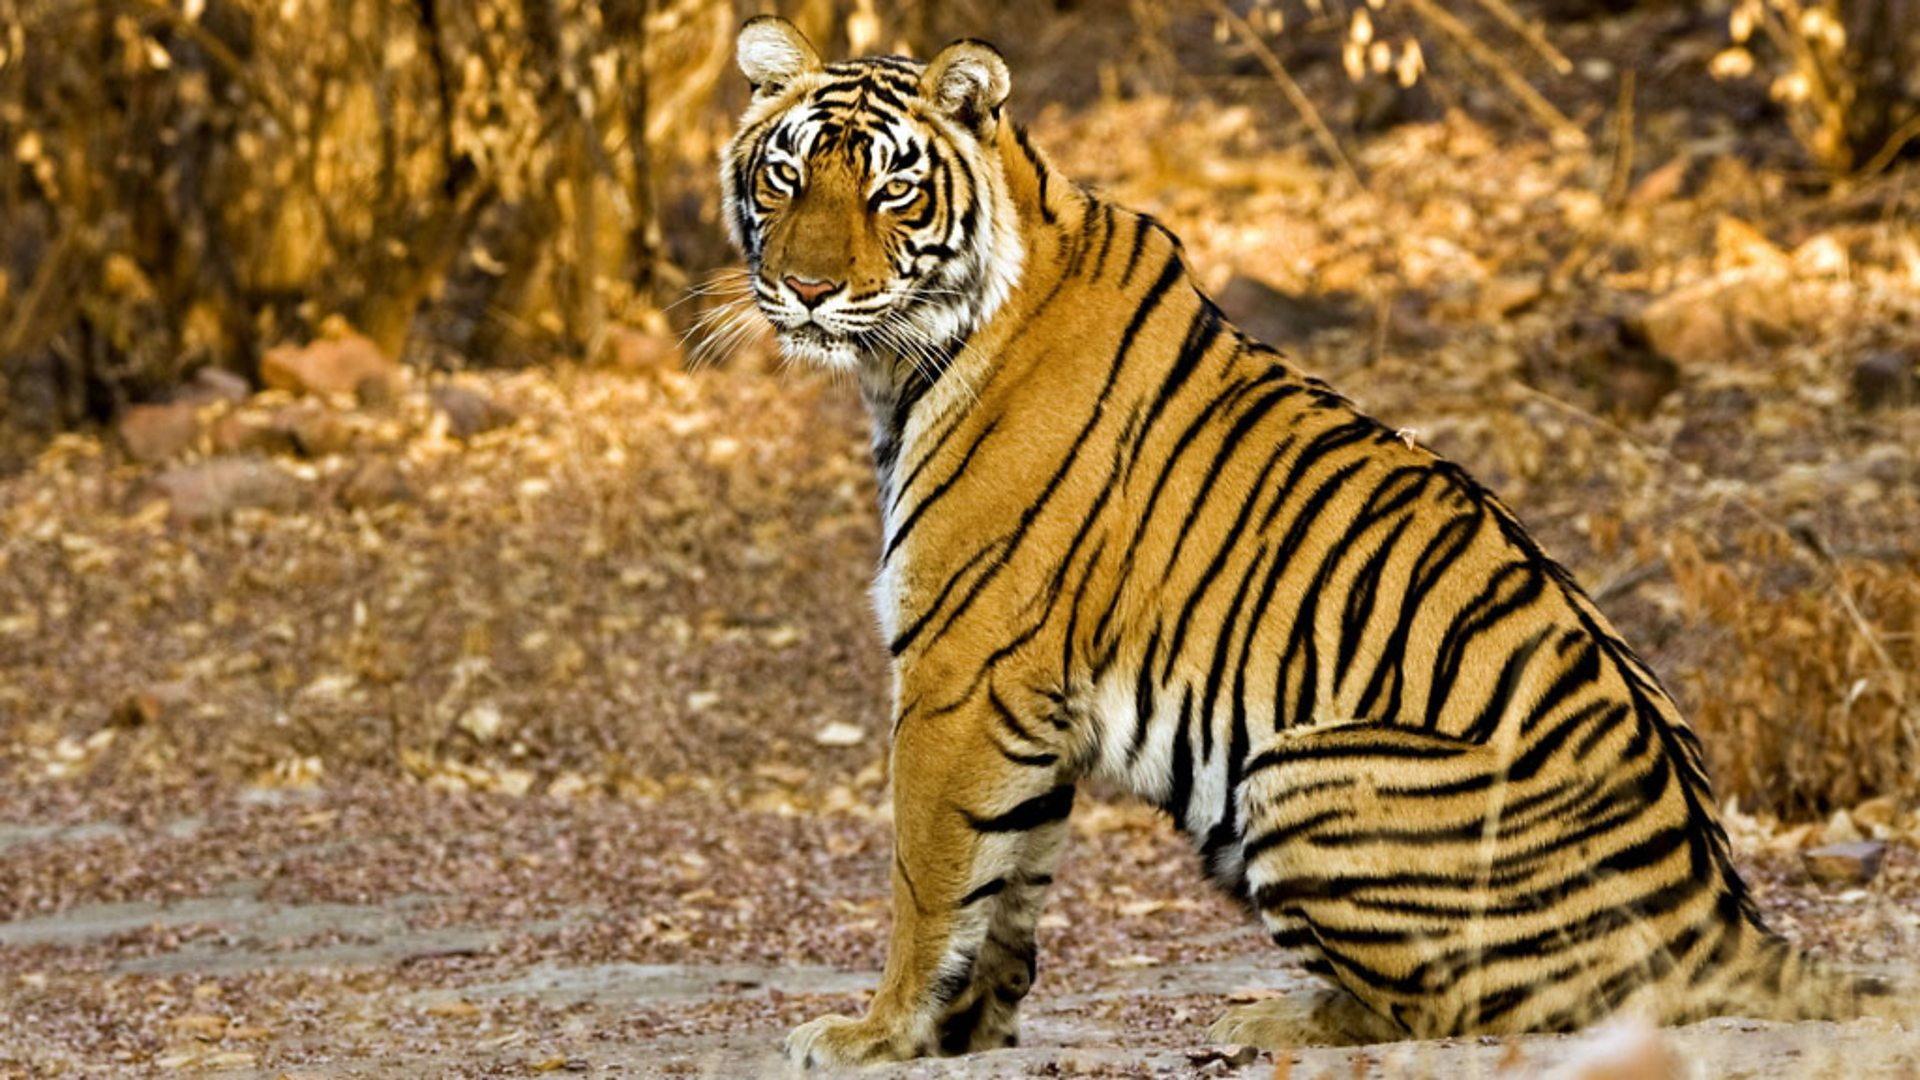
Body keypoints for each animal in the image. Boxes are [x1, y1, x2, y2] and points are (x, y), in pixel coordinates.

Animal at [717, 15, 1867, 1068]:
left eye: (892, 193)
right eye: (785, 179)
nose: (808, 291)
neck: (905, 365)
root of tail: (1724, 913)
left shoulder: (960, 672)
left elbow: (929, 875)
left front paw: (876, 1032)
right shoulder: (1028, 705)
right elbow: (1009, 881)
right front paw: (966, 1030)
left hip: (1295, 771)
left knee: (1462, 1008)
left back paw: (1270, 1019)